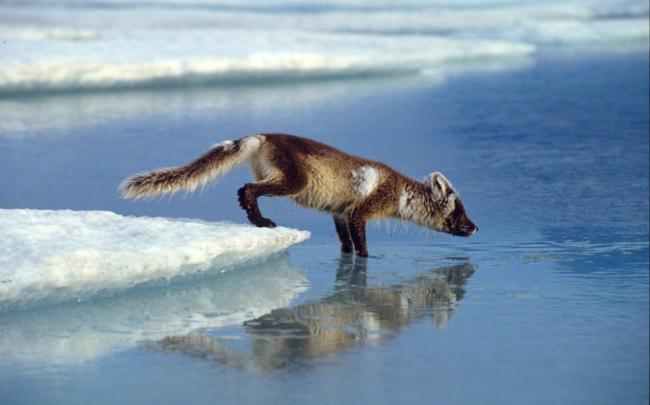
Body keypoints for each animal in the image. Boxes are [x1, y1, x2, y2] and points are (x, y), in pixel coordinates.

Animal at [121, 133, 476, 256]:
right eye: (459, 210)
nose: (475, 227)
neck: (401, 193)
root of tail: (261, 136)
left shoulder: (339, 213)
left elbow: (345, 244)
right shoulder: (361, 210)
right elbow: (361, 244)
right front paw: (367, 259)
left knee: (245, 188)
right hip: (294, 180)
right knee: (247, 189)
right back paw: (261, 221)